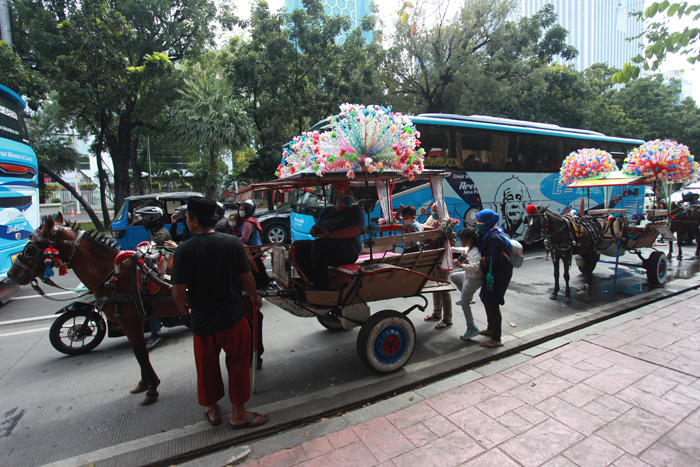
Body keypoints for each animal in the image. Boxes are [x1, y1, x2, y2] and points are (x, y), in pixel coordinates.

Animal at [9, 213, 185, 406]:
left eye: (31, 247)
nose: (11, 274)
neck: (111, 273)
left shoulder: (130, 320)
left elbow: (140, 353)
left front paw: (152, 387)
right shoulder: (129, 322)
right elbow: (138, 352)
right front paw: (143, 383)